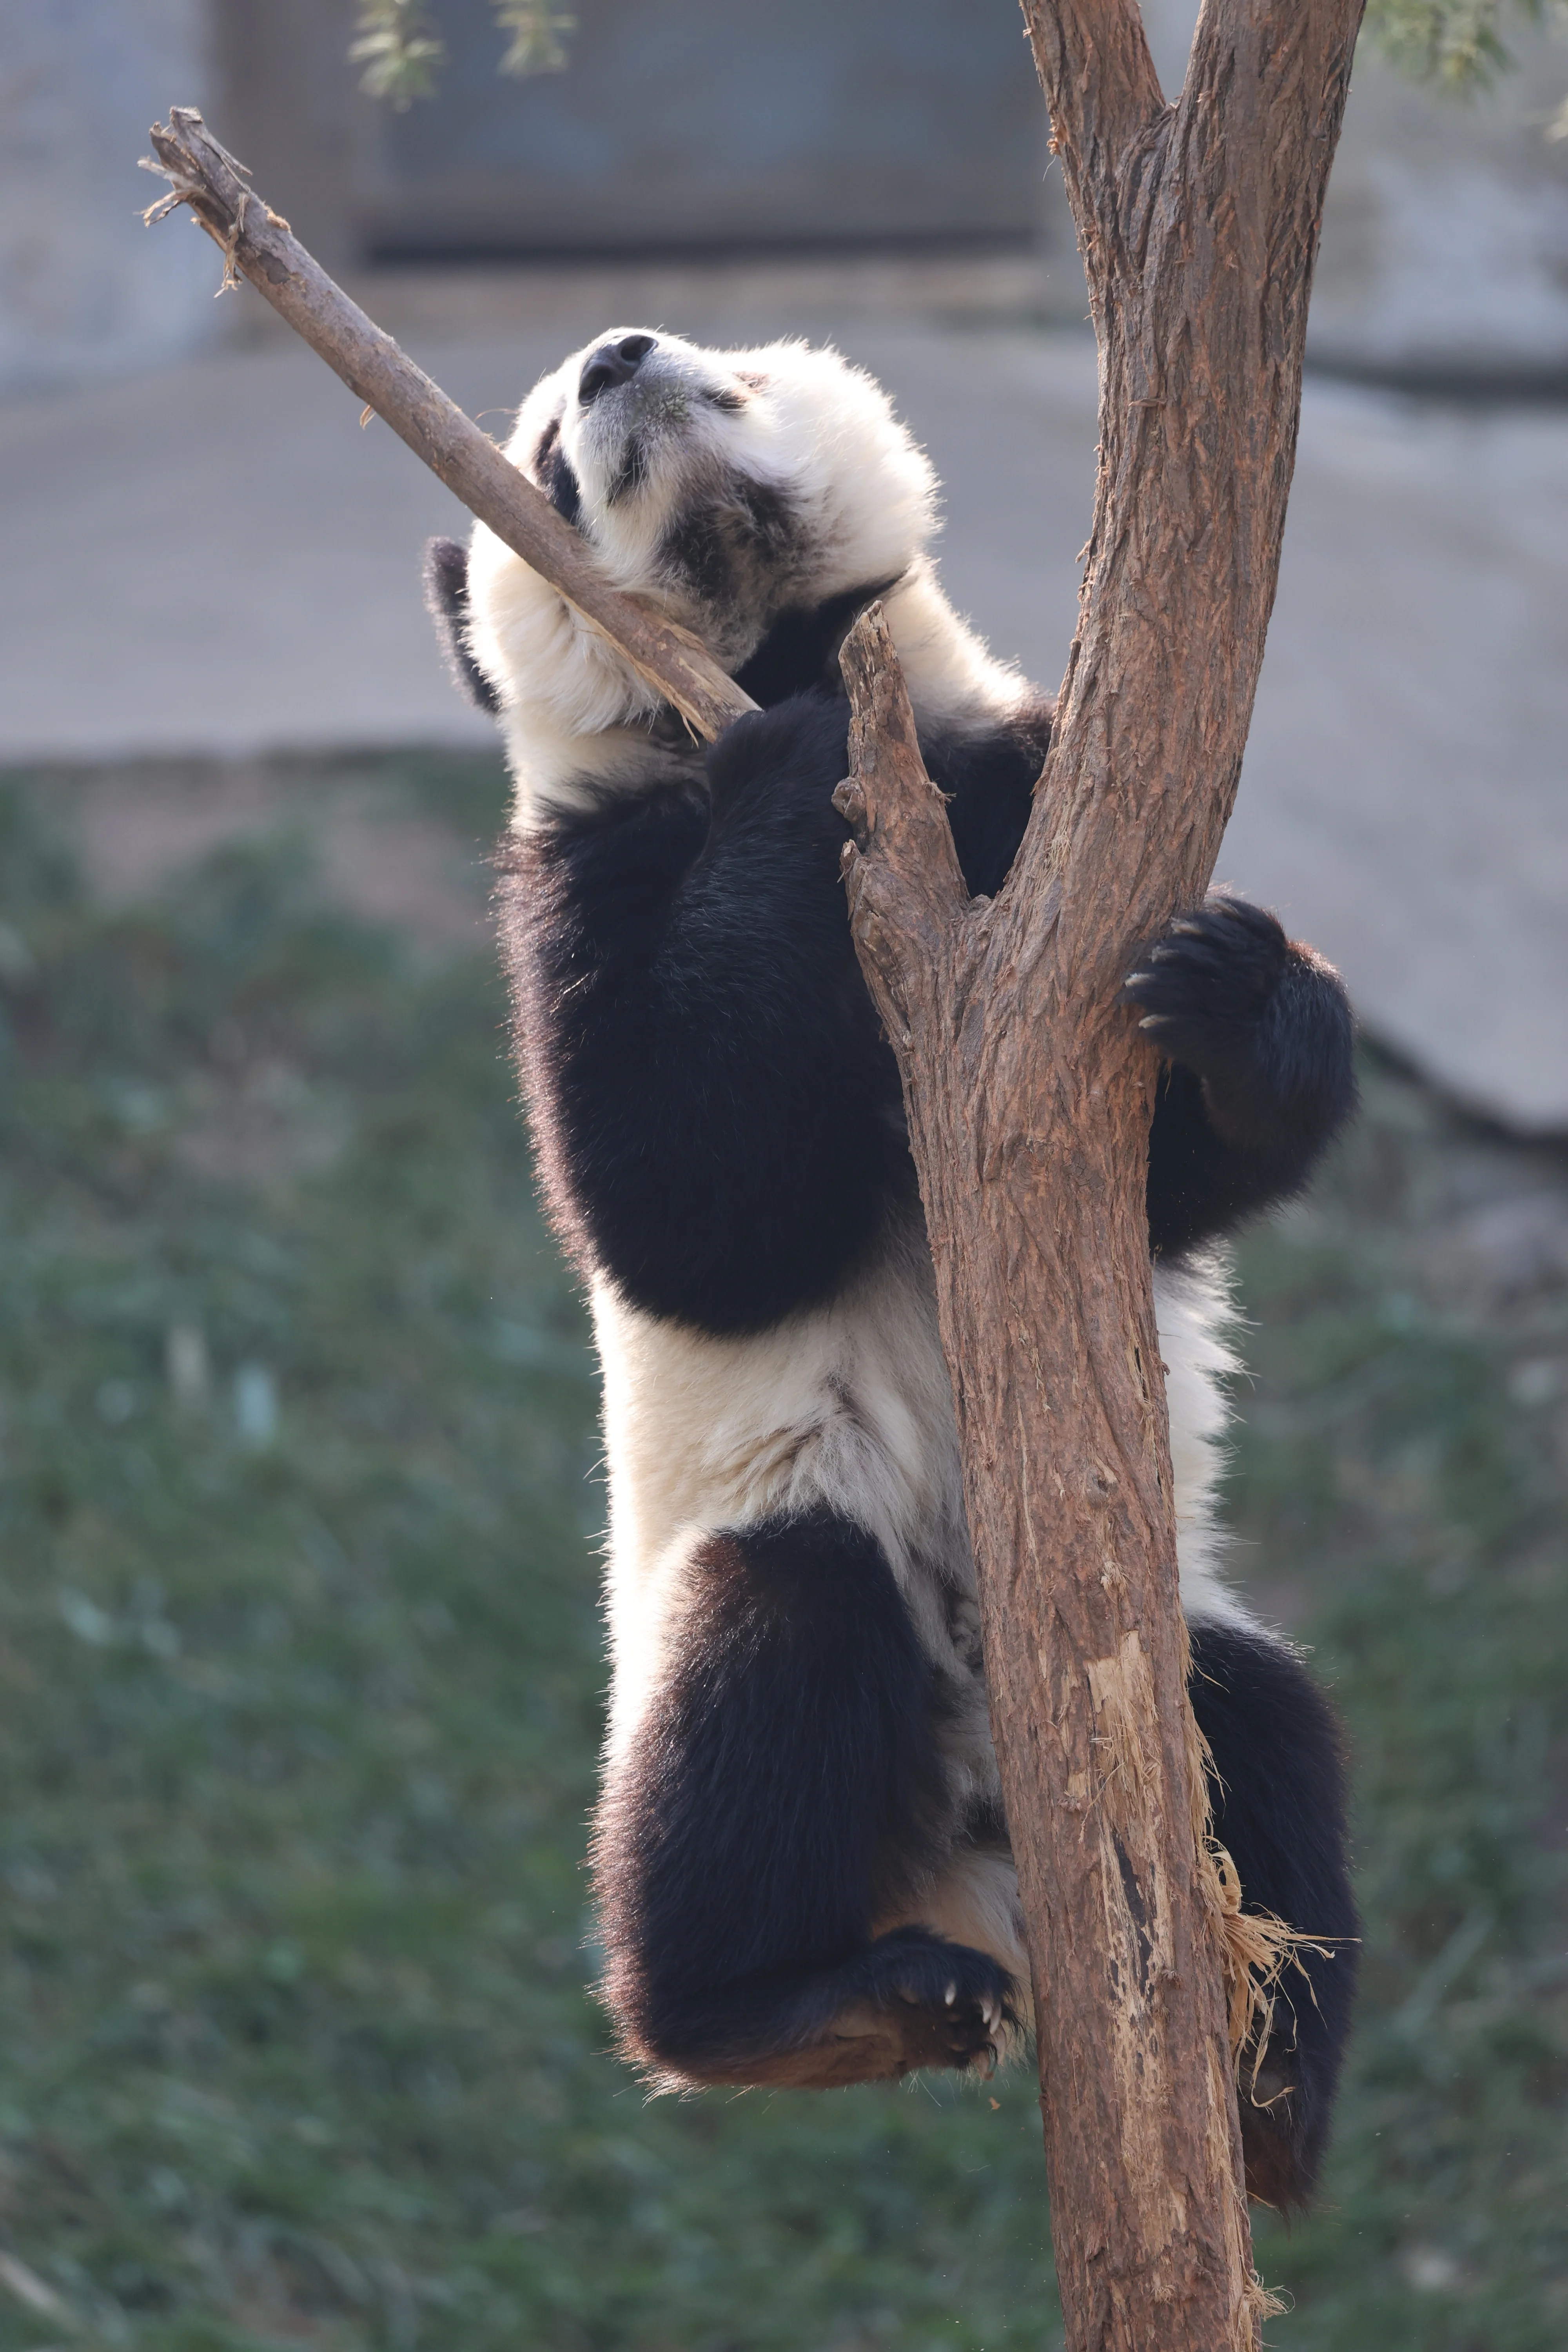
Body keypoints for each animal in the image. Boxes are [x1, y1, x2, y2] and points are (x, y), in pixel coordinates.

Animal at [425, 325, 1360, 2212]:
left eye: (723, 369)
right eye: (548, 452)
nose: (618, 356)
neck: (761, 646)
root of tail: (979, 1868)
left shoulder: (1027, 822)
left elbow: (1172, 1173)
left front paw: (1236, 995)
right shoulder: (581, 871)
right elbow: (685, 1210)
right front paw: (795, 779)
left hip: (1170, 1643)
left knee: (1263, 1711)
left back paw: (1267, 2087)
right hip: (776, 1592)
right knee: (773, 1648)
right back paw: (796, 2010)